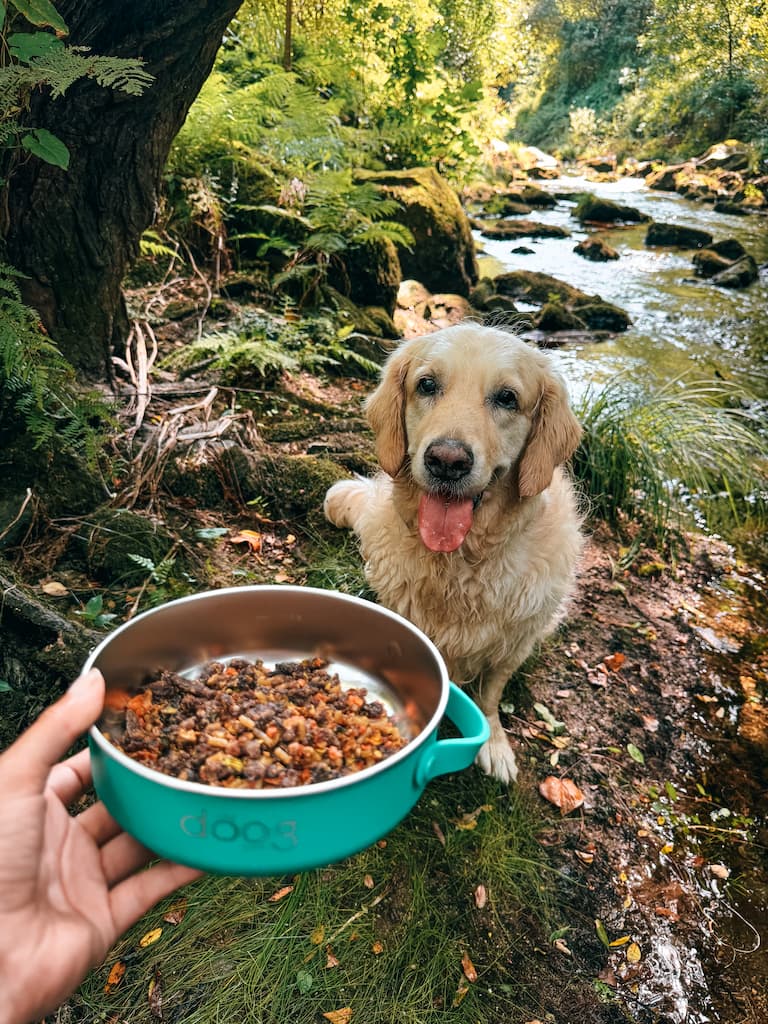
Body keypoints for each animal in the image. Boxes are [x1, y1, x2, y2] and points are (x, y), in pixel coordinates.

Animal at [323, 323, 581, 778]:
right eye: (427, 385)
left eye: (507, 398)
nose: (446, 461)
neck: (462, 562)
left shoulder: (516, 641)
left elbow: (490, 695)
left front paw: (494, 743)